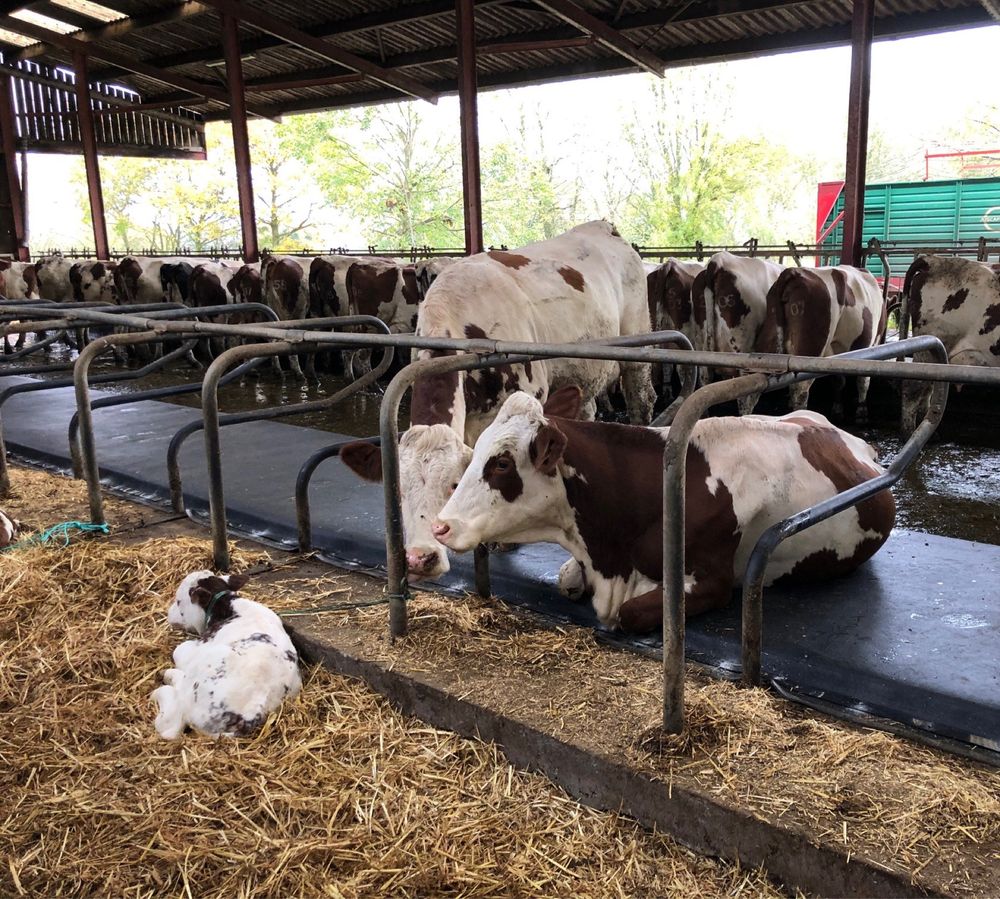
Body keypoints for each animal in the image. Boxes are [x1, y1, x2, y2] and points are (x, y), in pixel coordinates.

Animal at [151, 572, 300, 740]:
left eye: (178, 601)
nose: (168, 614)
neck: (226, 604)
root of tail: (247, 717)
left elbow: (178, 651)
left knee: (169, 725)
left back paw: (165, 679)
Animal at [340, 219, 660, 584]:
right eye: (398, 491)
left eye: (453, 485)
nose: (421, 558)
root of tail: (604, 227)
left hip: (638, 350)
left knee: (641, 402)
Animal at [744, 264, 892, 418]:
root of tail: (793, 272)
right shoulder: (872, 345)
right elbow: (863, 380)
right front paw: (861, 409)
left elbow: (838, 380)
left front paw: (837, 407)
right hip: (809, 350)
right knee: (800, 390)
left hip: (765, 348)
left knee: (751, 391)